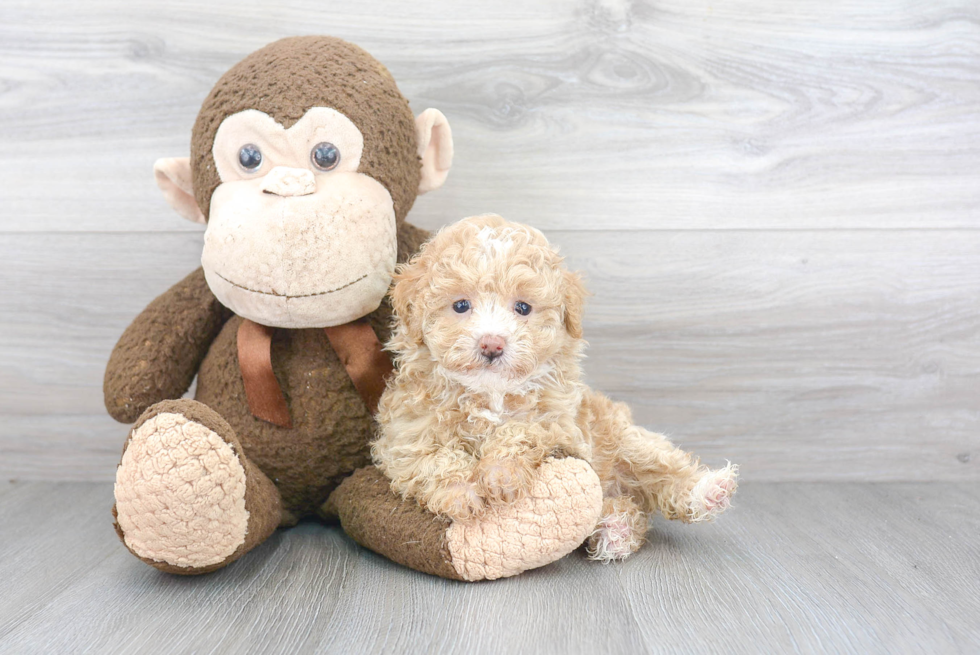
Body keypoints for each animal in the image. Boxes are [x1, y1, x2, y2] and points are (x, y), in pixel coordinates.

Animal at [372, 214, 740, 560]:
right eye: (461, 305)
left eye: (522, 307)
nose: (492, 344)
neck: (490, 395)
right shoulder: (406, 439)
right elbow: (434, 460)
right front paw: (463, 492)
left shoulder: (561, 425)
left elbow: (522, 429)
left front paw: (499, 474)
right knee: (621, 507)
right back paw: (615, 529)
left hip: (626, 441)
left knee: (666, 472)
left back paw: (709, 491)